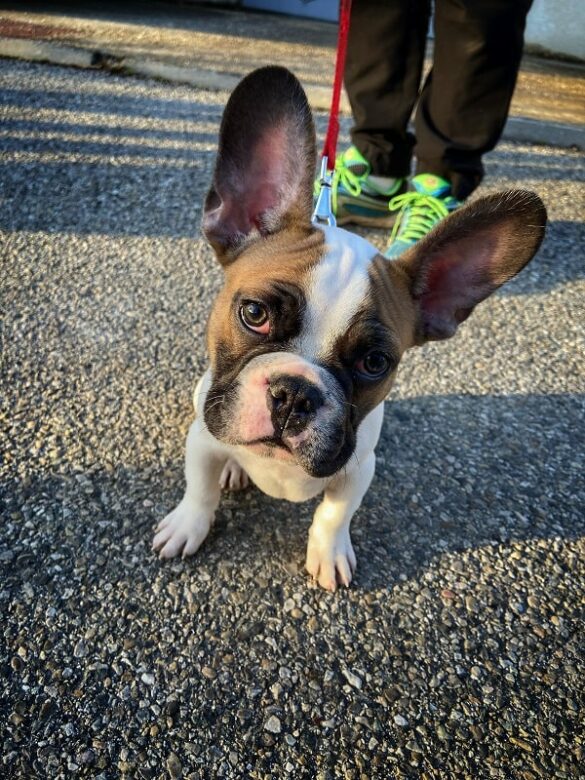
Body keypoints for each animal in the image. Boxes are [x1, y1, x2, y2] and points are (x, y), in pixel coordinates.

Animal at [153, 68, 544, 592]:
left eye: (374, 362)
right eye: (254, 313)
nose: (294, 394)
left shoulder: (358, 469)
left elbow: (334, 515)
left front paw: (329, 554)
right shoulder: (202, 438)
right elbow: (199, 489)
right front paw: (188, 525)